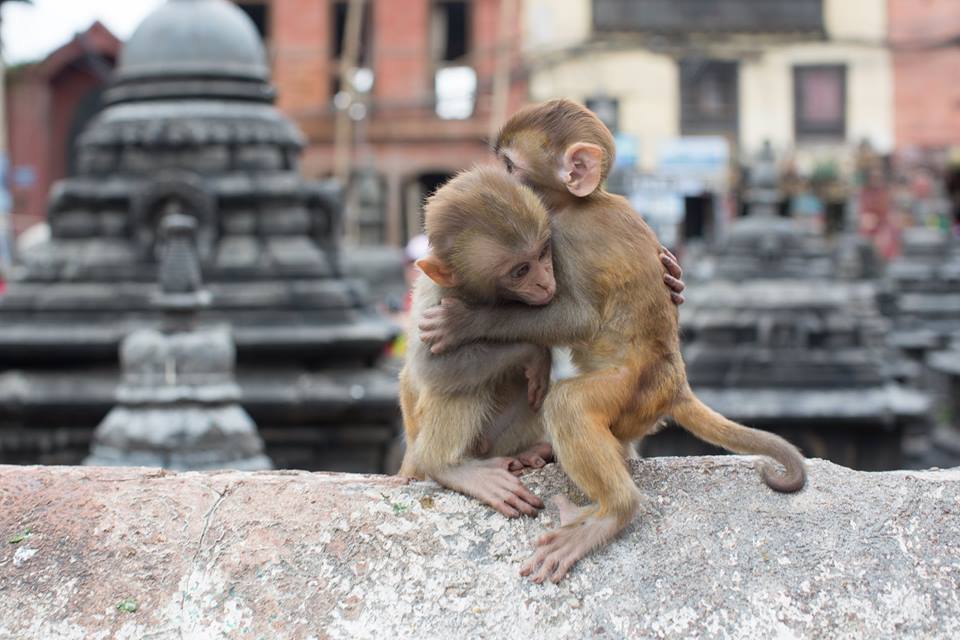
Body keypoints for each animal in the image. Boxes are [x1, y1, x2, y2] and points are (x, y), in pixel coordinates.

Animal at [400, 166, 564, 520]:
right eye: (520, 270)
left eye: (542, 253)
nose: (545, 282)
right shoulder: (436, 299)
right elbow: (430, 366)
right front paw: (532, 352)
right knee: (458, 380)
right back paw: (447, 466)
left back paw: (532, 452)